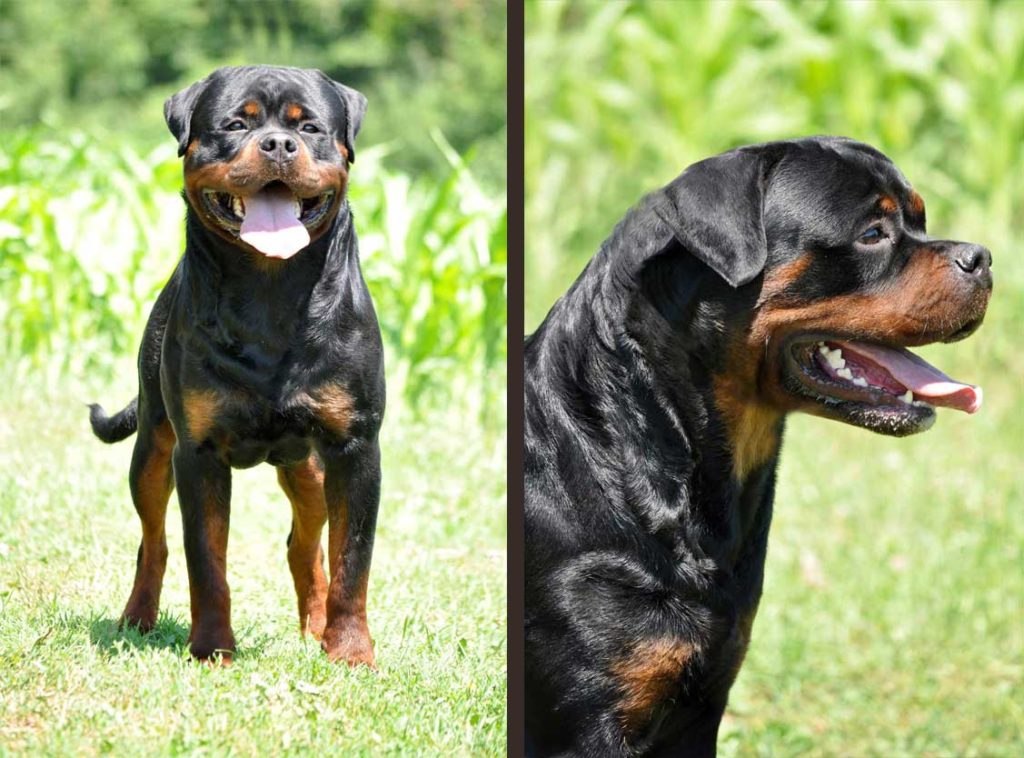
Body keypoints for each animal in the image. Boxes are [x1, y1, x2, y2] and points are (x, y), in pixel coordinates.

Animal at [88, 68, 382, 667]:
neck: (270, 290)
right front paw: (211, 649)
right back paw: (137, 617)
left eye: (309, 127)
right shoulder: (197, 452)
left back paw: (316, 627)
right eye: (235, 125)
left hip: (310, 467)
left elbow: (352, 562)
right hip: (152, 448)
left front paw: (349, 652)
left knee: (305, 546)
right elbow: (206, 560)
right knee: (153, 541)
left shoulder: (356, 446)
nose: (277, 144)